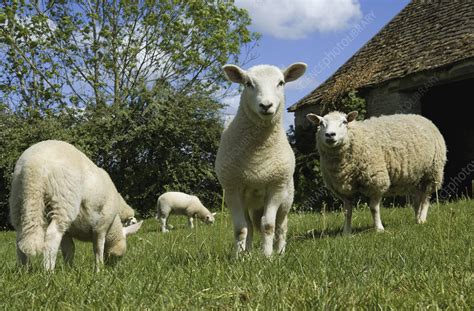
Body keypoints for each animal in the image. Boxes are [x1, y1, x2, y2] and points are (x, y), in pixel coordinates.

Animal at [8, 140, 143, 272]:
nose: (114, 269)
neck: (113, 225)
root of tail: (34, 164)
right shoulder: (101, 226)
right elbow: (98, 249)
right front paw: (99, 270)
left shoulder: (68, 232)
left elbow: (69, 249)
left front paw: (69, 270)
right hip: (63, 199)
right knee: (52, 235)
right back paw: (48, 272)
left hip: (18, 199)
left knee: (21, 236)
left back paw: (24, 270)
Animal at [215, 61, 308, 258]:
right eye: (248, 84)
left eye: (281, 83)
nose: (266, 105)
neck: (258, 155)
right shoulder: (232, 189)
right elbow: (241, 228)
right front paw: (238, 257)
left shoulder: (276, 187)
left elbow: (268, 225)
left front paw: (267, 256)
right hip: (249, 203)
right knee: (250, 225)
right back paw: (249, 252)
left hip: (286, 200)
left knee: (281, 226)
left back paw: (280, 251)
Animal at [306, 111, 446, 235]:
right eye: (321, 123)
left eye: (344, 122)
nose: (330, 135)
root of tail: (422, 117)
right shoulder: (344, 190)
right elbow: (347, 211)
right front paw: (346, 232)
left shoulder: (376, 181)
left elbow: (374, 208)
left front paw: (379, 229)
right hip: (415, 178)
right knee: (417, 199)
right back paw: (417, 219)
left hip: (432, 172)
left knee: (426, 198)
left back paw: (422, 219)